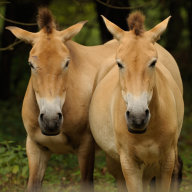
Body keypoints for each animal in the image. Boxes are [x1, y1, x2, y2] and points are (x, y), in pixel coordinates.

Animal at [89, 11, 184, 191]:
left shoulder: (166, 162)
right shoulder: (129, 165)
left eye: (153, 62)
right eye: (119, 63)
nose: (137, 117)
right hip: (116, 165)